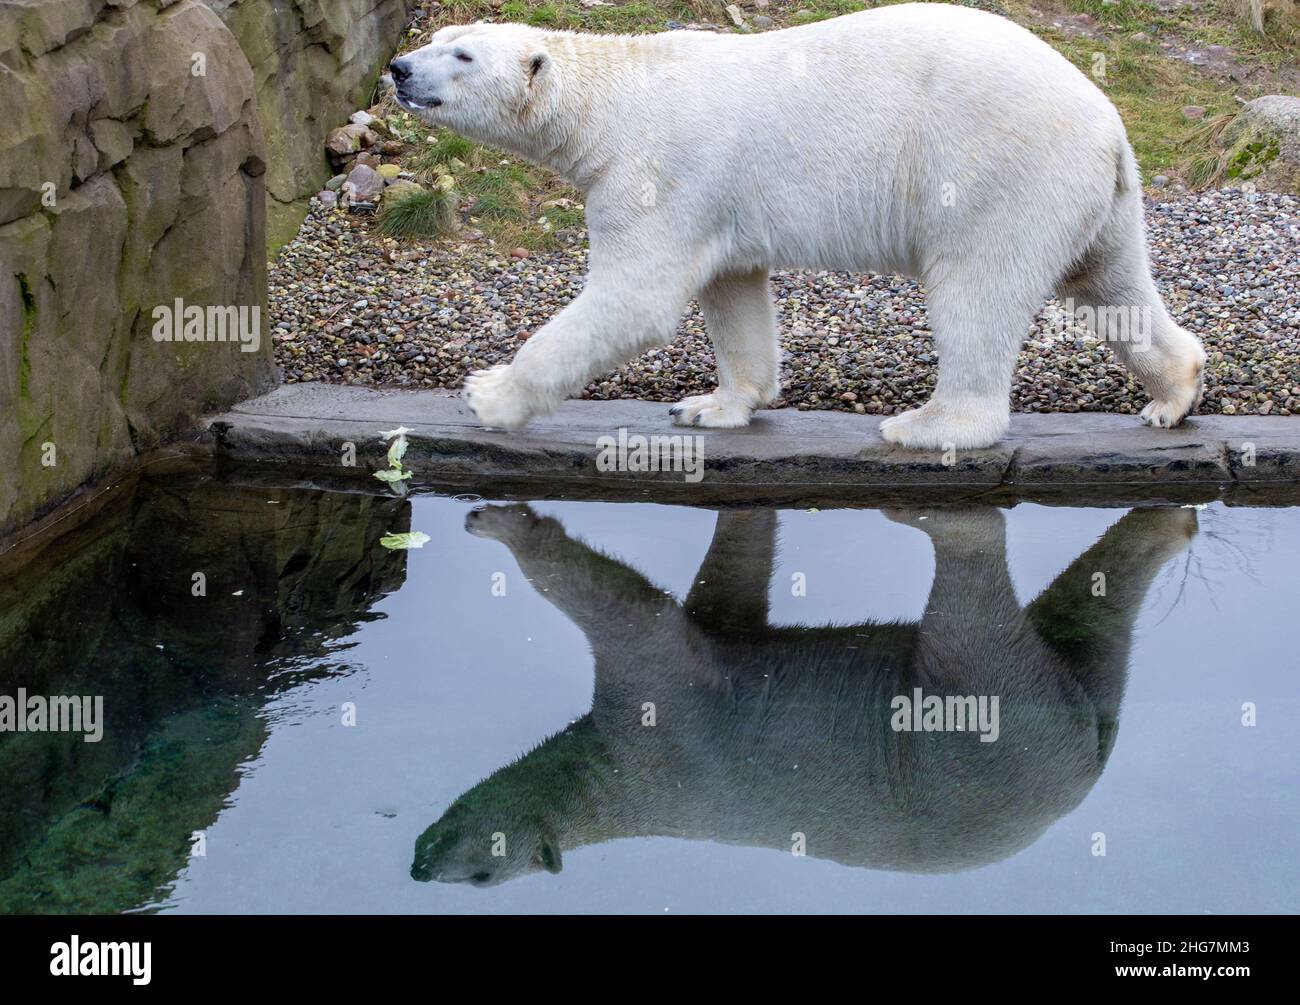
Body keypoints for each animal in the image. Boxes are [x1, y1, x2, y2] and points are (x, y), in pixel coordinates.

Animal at [388, 5, 1206, 449]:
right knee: (1112, 282)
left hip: (996, 174)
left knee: (977, 291)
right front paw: (714, 405)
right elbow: (733, 290)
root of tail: (1108, 122)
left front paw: (487, 394)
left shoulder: (655, 174)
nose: (398, 68)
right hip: (1097, 197)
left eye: (461, 54)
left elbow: (634, 301)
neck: (615, 99)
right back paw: (1173, 392)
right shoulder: (716, 202)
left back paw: (929, 425)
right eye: (441, 33)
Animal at [410, 504, 1196, 886]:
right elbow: (728, 593)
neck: (616, 785)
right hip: (1064, 704)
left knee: (967, 611)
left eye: (480, 872)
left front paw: (502, 524)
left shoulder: (659, 721)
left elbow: (627, 611)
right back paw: (1169, 526)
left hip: (973, 727)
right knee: (1089, 625)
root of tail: (1082, 765)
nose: (420, 865)